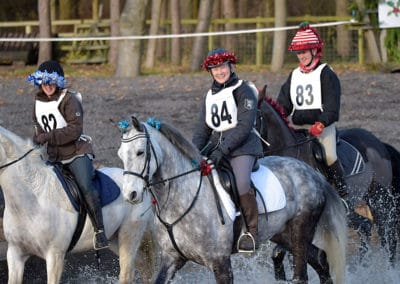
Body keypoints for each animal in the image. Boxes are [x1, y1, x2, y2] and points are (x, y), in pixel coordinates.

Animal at [0, 126, 155, 284]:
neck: (33, 199)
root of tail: (140, 187)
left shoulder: (55, 257)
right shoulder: (15, 254)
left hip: (129, 235)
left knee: (127, 274)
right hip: (113, 239)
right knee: (142, 266)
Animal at [116, 116, 346, 284]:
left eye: (140, 152)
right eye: (121, 154)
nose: (130, 195)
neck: (182, 200)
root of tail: (311, 173)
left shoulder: (220, 262)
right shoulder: (172, 259)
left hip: (300, 230)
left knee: (301, 275)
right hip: (283, 234)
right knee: (320, 259)